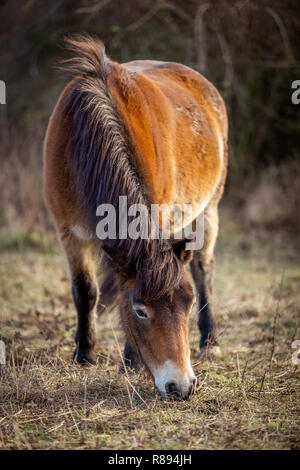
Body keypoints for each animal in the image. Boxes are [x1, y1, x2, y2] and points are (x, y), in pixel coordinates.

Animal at [44, 35, 227, 400]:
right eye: (140, 309)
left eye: (187, 304)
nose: (181, 386)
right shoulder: (69, 232)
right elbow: (85, 290)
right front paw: (84, 354)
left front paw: (128, 361)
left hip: (208, 209)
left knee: (203, 269)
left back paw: (209, 340)